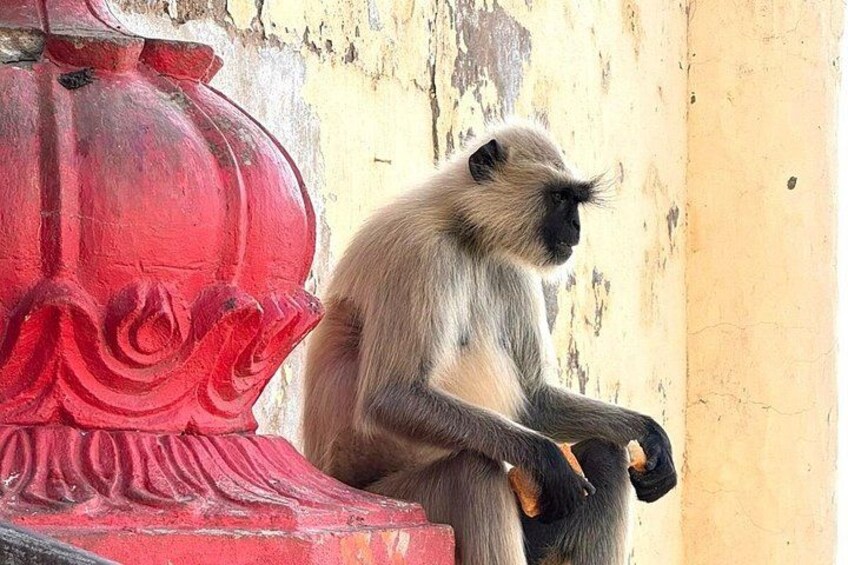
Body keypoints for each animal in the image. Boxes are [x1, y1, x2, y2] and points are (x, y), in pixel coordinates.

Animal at [302, 119, 677, 565]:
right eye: (559, 198)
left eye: (576, 201)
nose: (576, 229)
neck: (465, 231)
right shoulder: (419, 251)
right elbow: (391, 396)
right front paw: (546, 457)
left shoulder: (508, 266)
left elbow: (535, 402)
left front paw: (651, 434)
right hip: (403, 505)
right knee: (473, 472)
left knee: (604, 452)